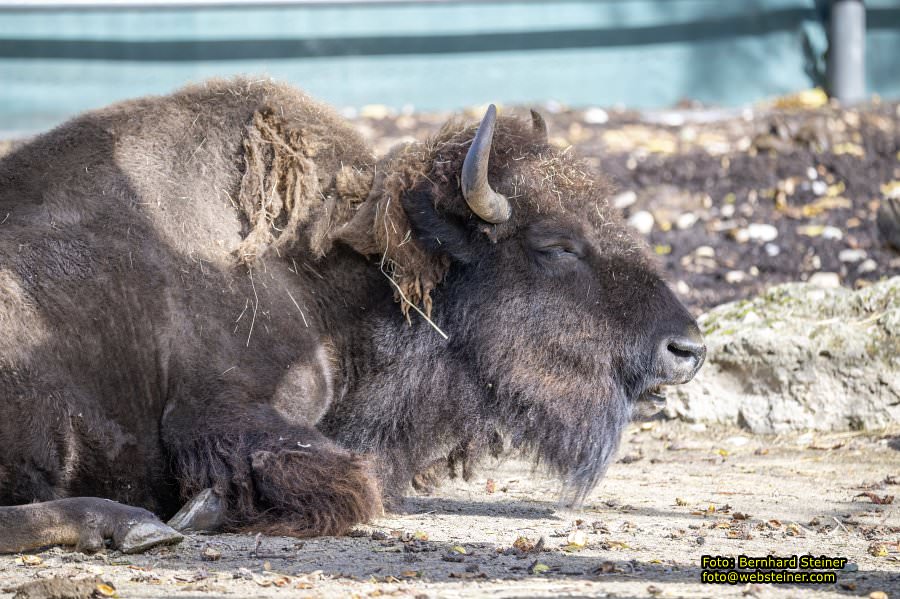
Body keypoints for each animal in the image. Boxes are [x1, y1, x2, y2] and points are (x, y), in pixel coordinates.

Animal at [0, 78, 704, 552]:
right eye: (556, 245)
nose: (687, 349)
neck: (328, 277)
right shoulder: (218, 409)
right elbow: (351, 481)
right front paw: (202, 510)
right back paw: (133, 526)